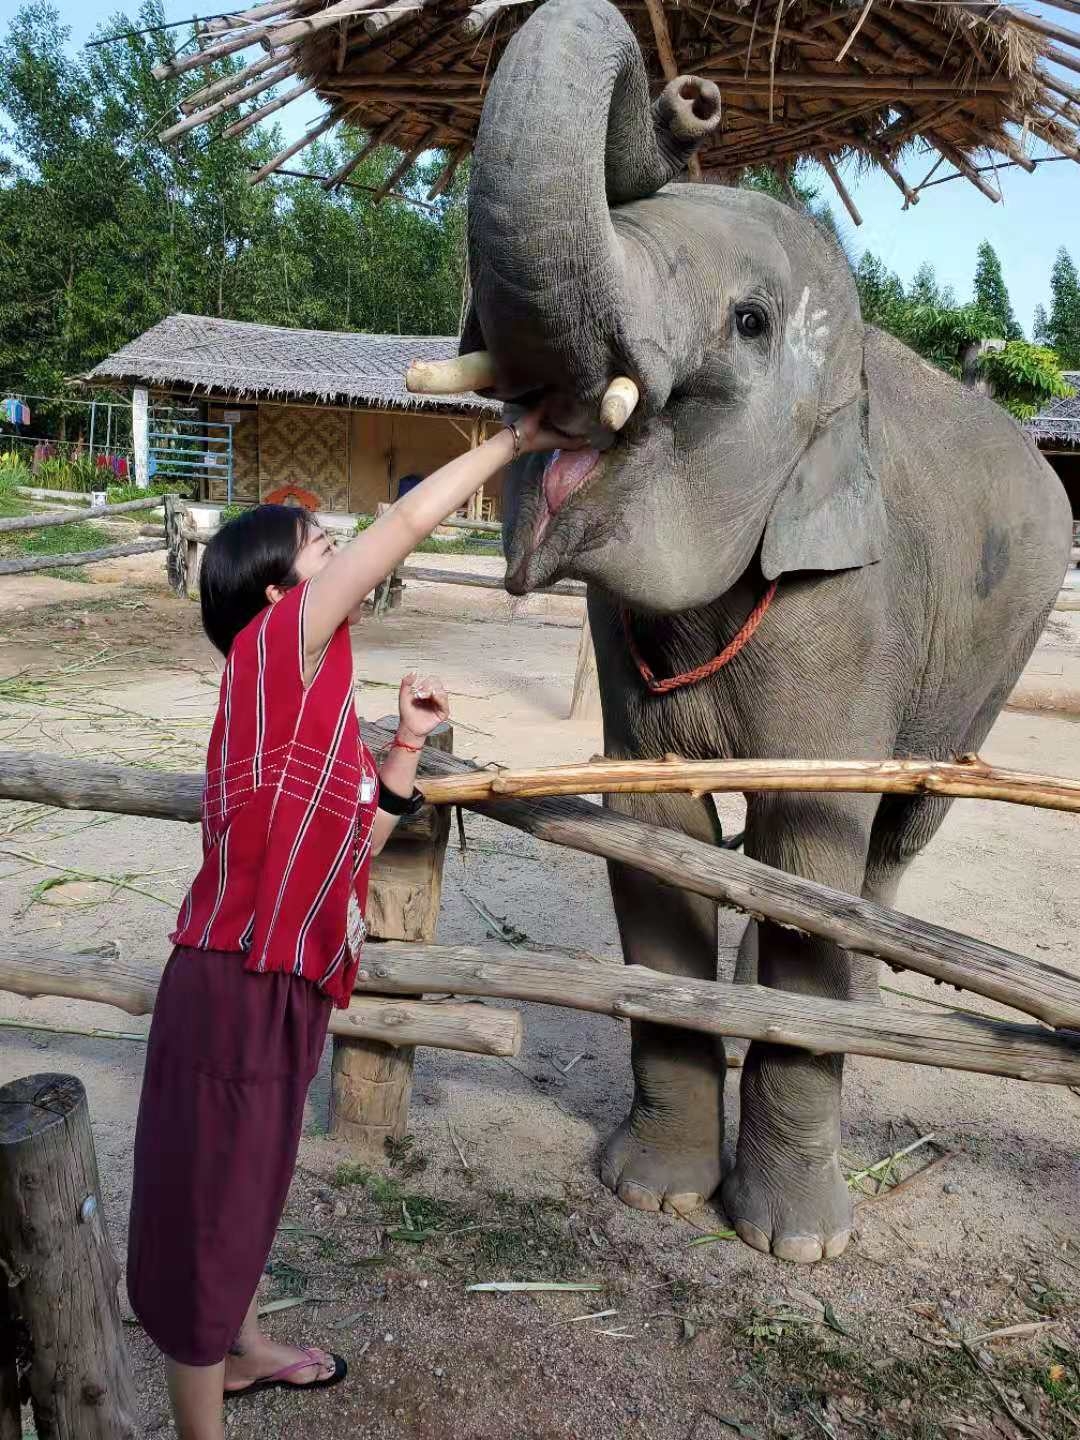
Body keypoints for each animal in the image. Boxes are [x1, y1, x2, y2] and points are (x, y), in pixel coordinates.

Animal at [440, 0, 1077, 1261]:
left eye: (747, 322)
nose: (691, 100)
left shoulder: (854, 608)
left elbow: (813, 842)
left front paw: (796, 1247)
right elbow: (659, 841)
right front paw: (654, 1195)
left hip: (999, 652)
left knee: (896, 834)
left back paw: (863, 993)